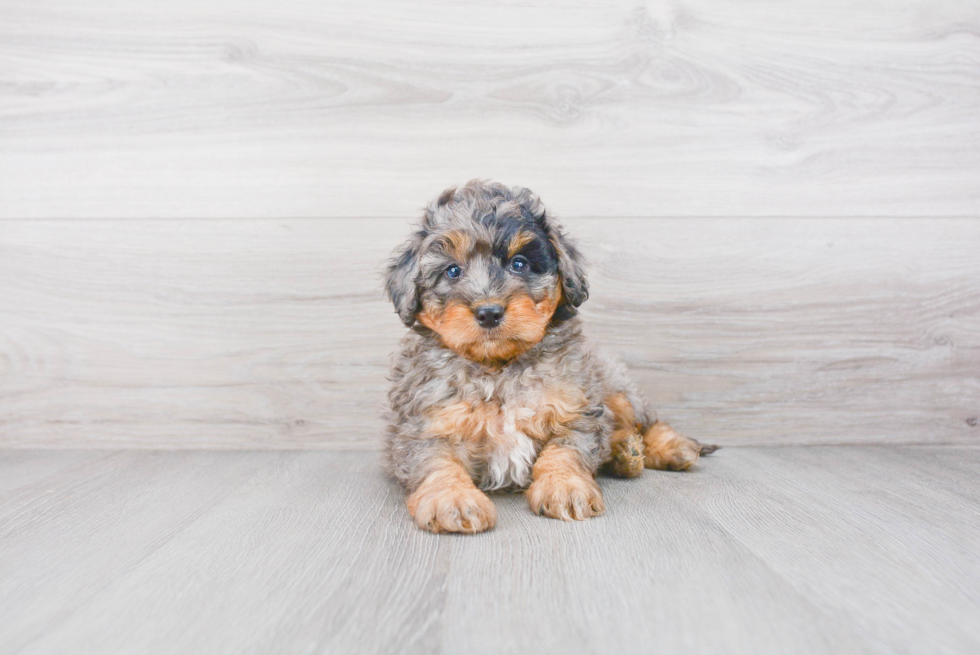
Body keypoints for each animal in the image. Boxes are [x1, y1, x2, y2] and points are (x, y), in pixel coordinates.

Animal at [382, 179, 712, 532]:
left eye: (519, 263)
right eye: (452, 271)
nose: (489, 312)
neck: (498, 369)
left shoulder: (575, 409)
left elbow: (564, 451)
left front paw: (564, 486)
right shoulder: (425, 425)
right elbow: (437, 462)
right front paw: (453, 499)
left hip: (616, 388)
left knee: (646, 421)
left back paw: (667, 448)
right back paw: (625, 451)